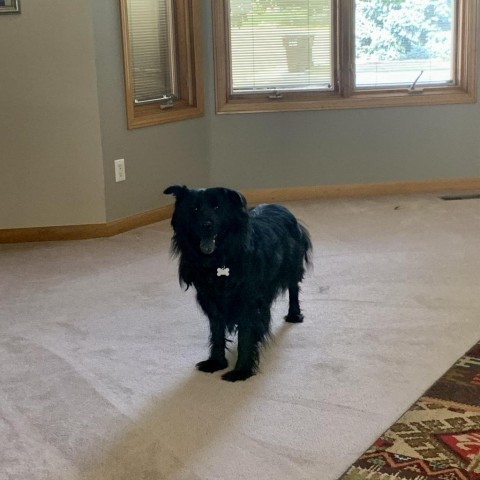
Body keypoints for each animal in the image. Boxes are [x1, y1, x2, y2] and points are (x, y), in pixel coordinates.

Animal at [164, 185, 312, 382]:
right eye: (194, 209)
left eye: (217, 207)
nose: (206, 225)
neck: (220, 260)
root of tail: (282, 207)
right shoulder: (211, 300)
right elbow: (217, 333)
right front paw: (216, 362)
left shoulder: (247, 303)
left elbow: (246, 336)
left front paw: (241, 371)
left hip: (291, 267)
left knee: (293, 288)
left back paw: (294, 315)